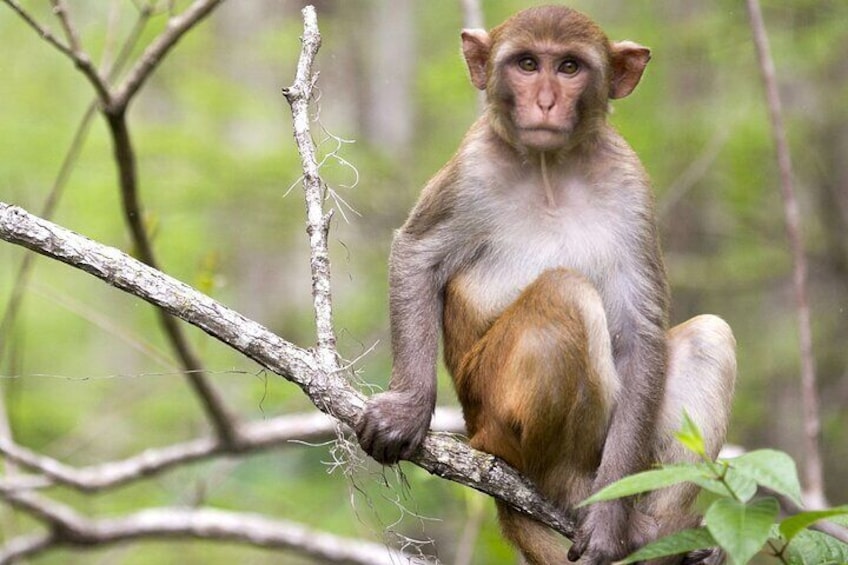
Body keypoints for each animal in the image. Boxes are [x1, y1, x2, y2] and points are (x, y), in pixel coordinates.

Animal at [354, 5, 732, 564]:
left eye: (570, 66)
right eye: (527, 64)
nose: (546, 102)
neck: (550, 168)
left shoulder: (631, 186)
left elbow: (642, 331)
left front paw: (608, 520)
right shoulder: (472, 167)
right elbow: (416, 255)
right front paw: (407, 410)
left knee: (709, 335)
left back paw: (655, 533)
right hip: (494, 416)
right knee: (565, 295)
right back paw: (567, 488)